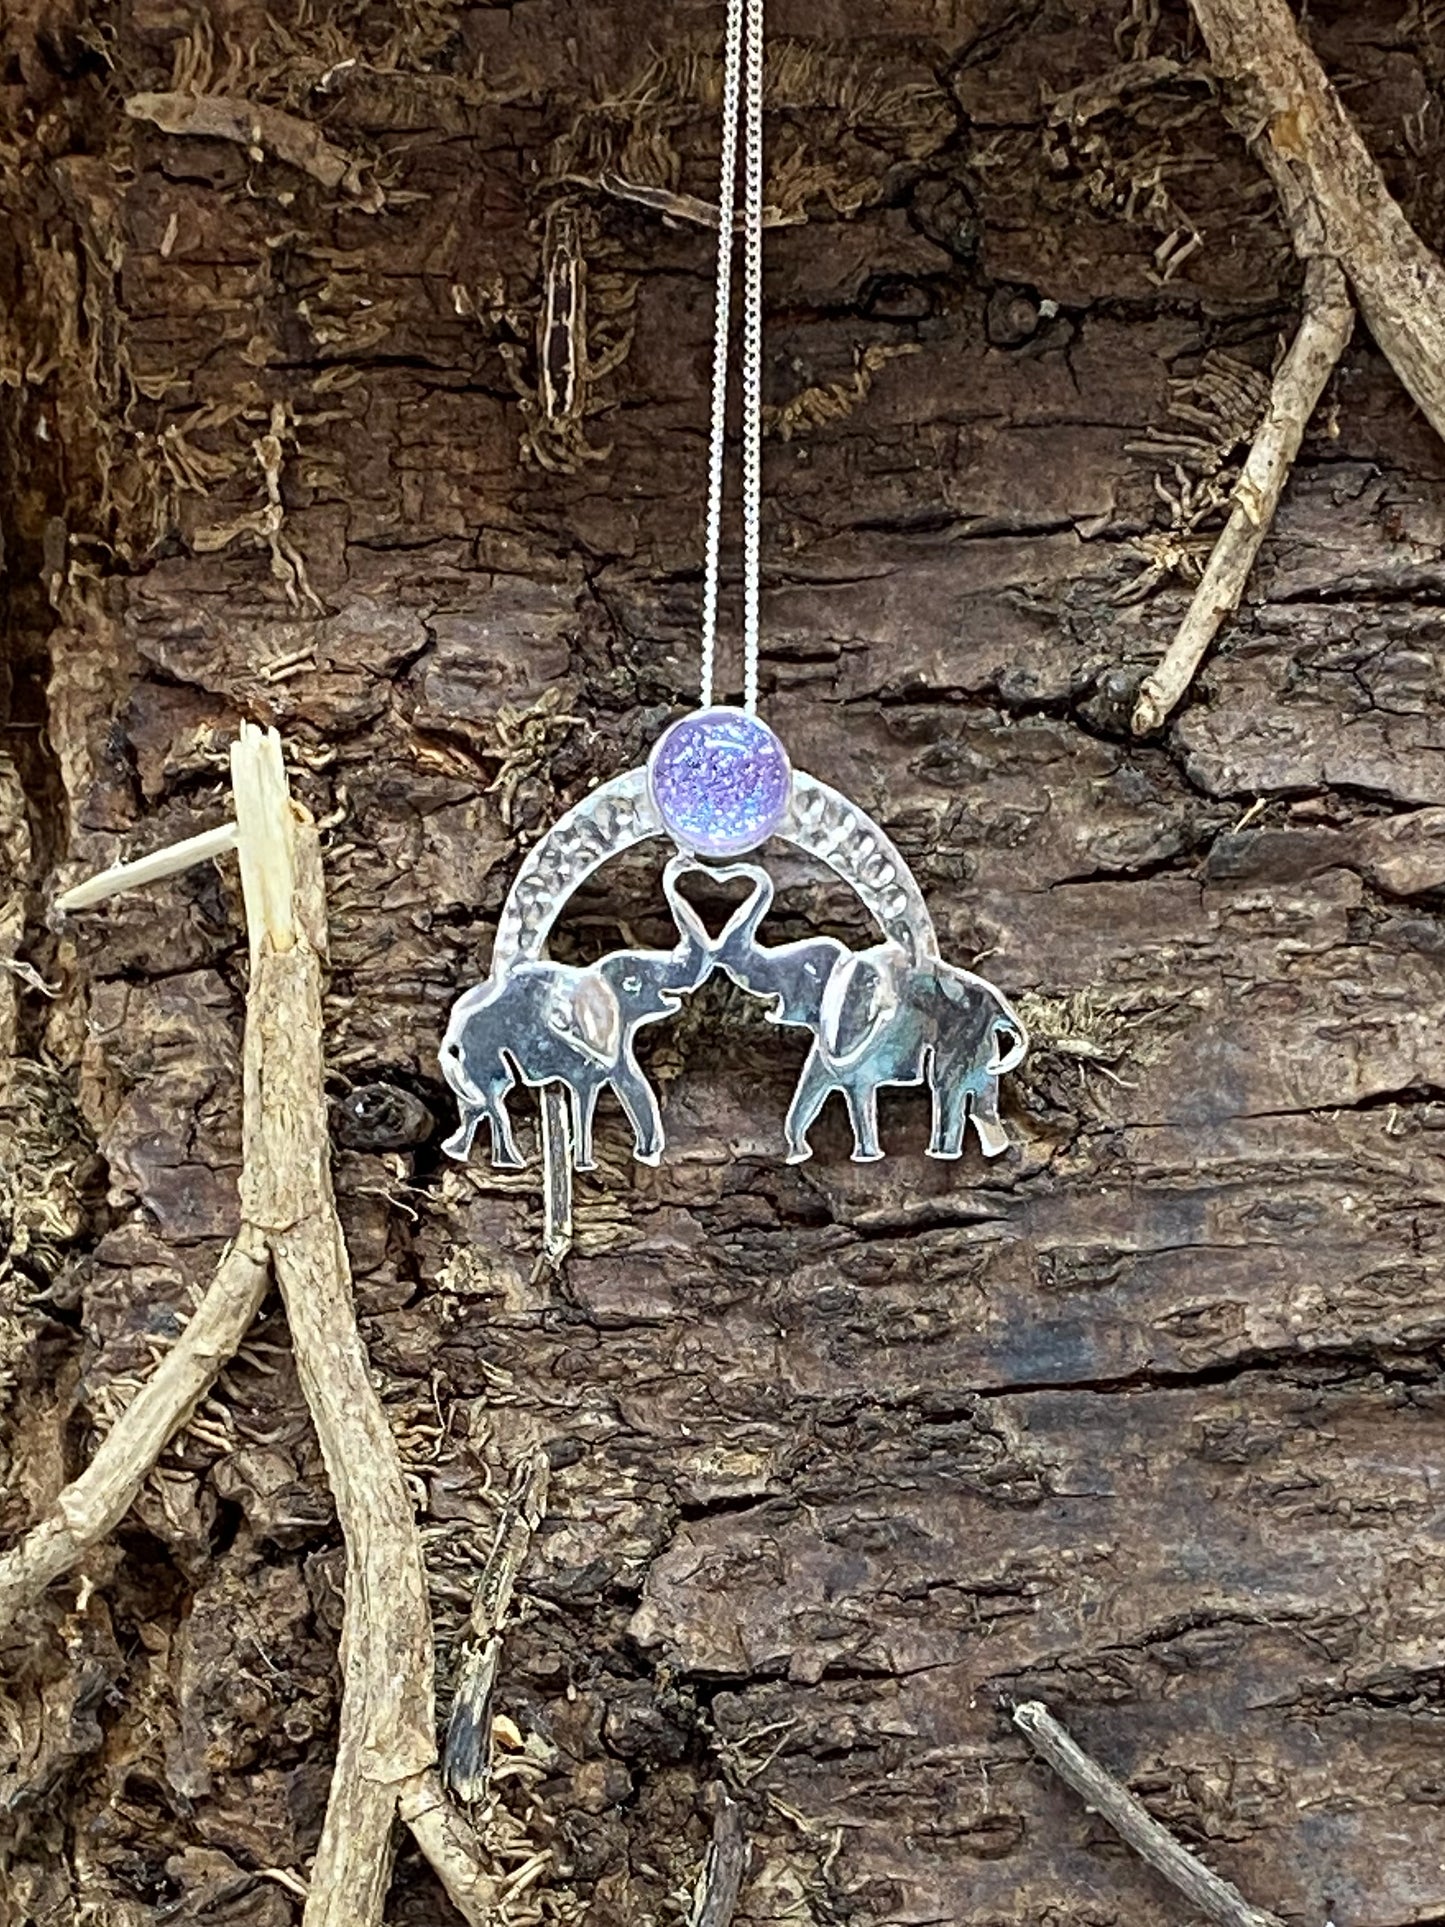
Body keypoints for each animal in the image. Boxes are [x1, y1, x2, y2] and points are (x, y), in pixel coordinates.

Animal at [441, 859, 750, 1170]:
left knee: (476, 1106)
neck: (589, 974)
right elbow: (587, 1090)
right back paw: (509, 1160)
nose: (684, 861)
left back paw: (466, 1152)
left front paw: (643, 1154)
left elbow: (629, 1080)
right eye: (633, 984)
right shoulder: (581, 1053)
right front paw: (585, 1164)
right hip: (481, 1052)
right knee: (494, 1096)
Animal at [710, 864, 1027, 1164]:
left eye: (808, 971)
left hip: (963, 1036)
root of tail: (999, 1009)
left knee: (947, 1088)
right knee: (979, 1100)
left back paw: (943, 1154)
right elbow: (811, 1082)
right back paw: (988, 1148)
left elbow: (856, 1086)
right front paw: (798, 1155)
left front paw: (866, 1157)